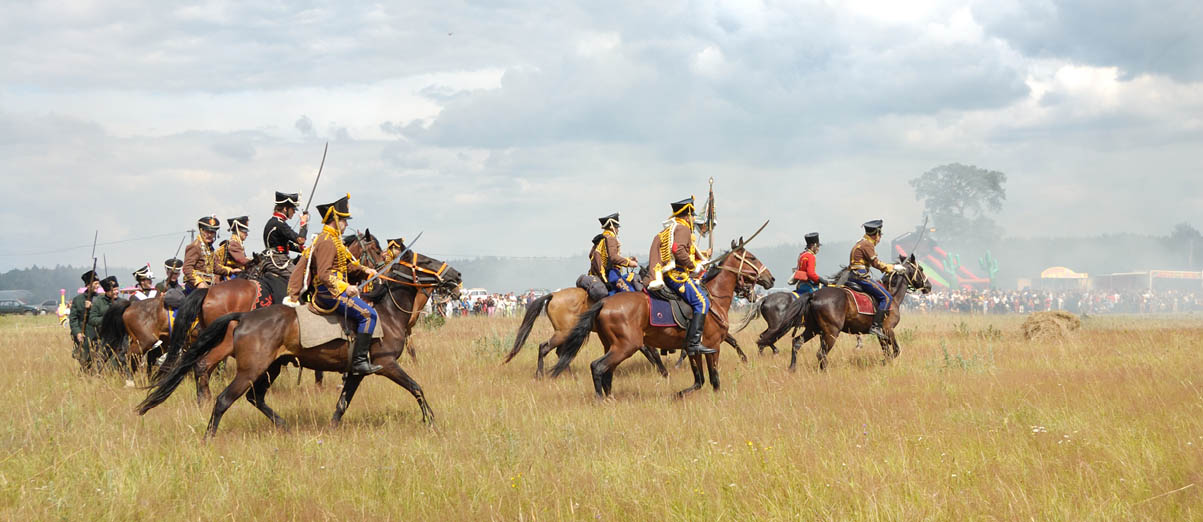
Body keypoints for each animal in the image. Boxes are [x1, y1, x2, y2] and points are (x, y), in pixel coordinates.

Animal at [136, 248, 459, 435]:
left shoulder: (356, 371)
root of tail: (244, 316)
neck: (386, 313)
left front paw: (331, 430)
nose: (456, 276)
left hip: (272, 367)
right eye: (425, 261)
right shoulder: (386, 364)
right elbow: (416, 388)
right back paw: (208, 437)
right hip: (251, 370)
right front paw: (431, 422)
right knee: (222, 397)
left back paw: (284, 426)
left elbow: (343, 403)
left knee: (253, 397)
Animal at [157, 230, 384, 404]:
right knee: (205, 364)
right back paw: (206, 396)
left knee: (203, 365)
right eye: (376, 249)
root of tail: (208, 291)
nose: (379, 273)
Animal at [548, 238, 769, 396]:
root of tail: (605, 303)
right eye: (752, 257)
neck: (713, 298)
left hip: (611, 345)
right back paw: (600, 399)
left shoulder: (694, 348)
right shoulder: (713, 345)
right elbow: (713, 378)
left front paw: (680, 392)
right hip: (625, 345)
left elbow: (699, 380)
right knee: (596, 366)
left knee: (604, 370)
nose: (771, 279)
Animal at [760, 254, 928, 372]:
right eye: (921, 269)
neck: (891, 295)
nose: (929, 286)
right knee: (820, 353)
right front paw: (884, 362)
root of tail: (814, 295)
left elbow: (887, 351)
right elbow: (896, 350)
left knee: (796, 343)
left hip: (813, 329)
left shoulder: (882, 333)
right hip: (831, 332)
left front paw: (884, 363)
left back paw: (792, 368)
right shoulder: (888, 329)